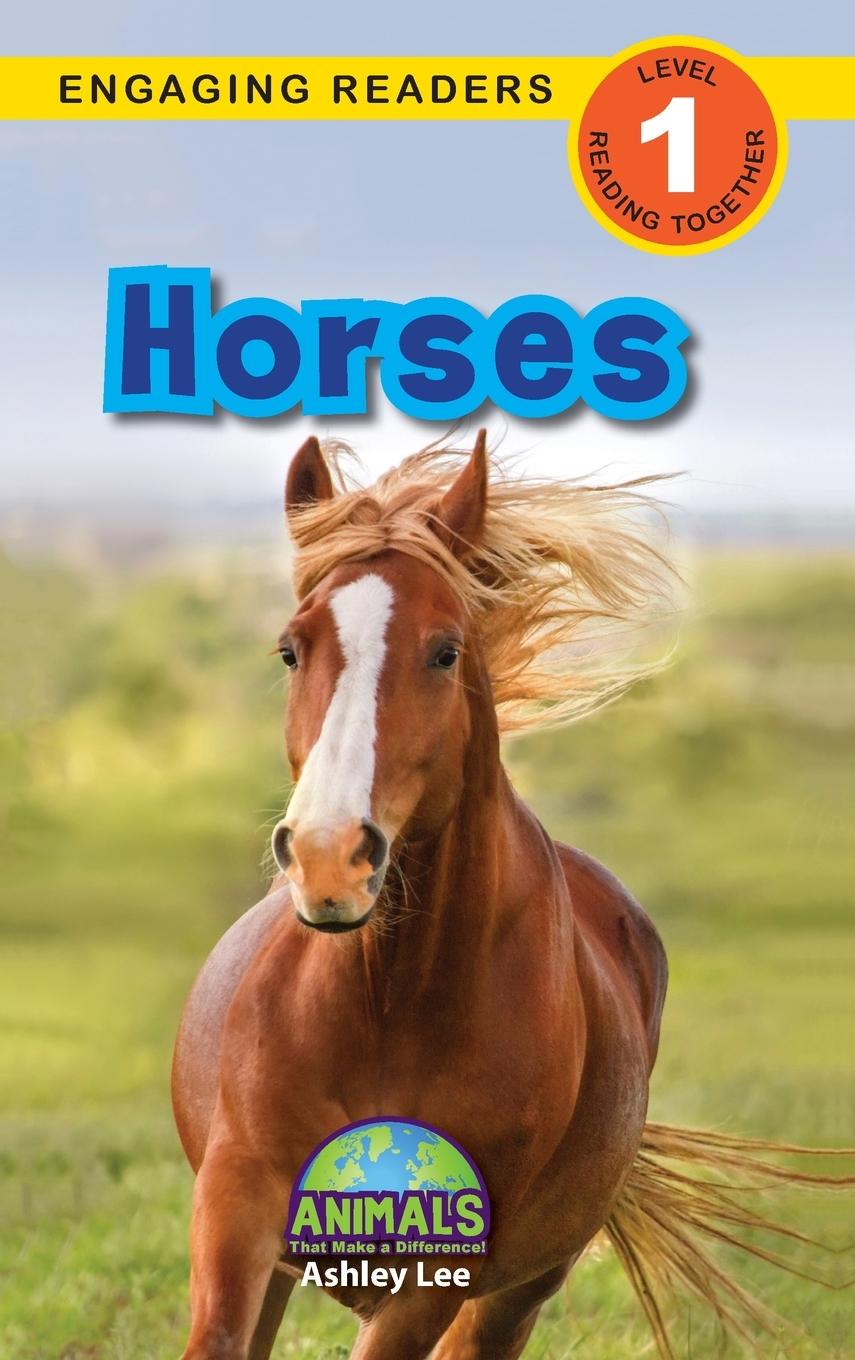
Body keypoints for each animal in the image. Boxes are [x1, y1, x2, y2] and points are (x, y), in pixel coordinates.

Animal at [171, 432, 839, 1360]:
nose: (328, 859)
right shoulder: (238, 1210)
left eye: (445, 650)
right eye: (290, 650)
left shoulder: (434, 1276)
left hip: (517, 1291)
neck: (386, 1008)